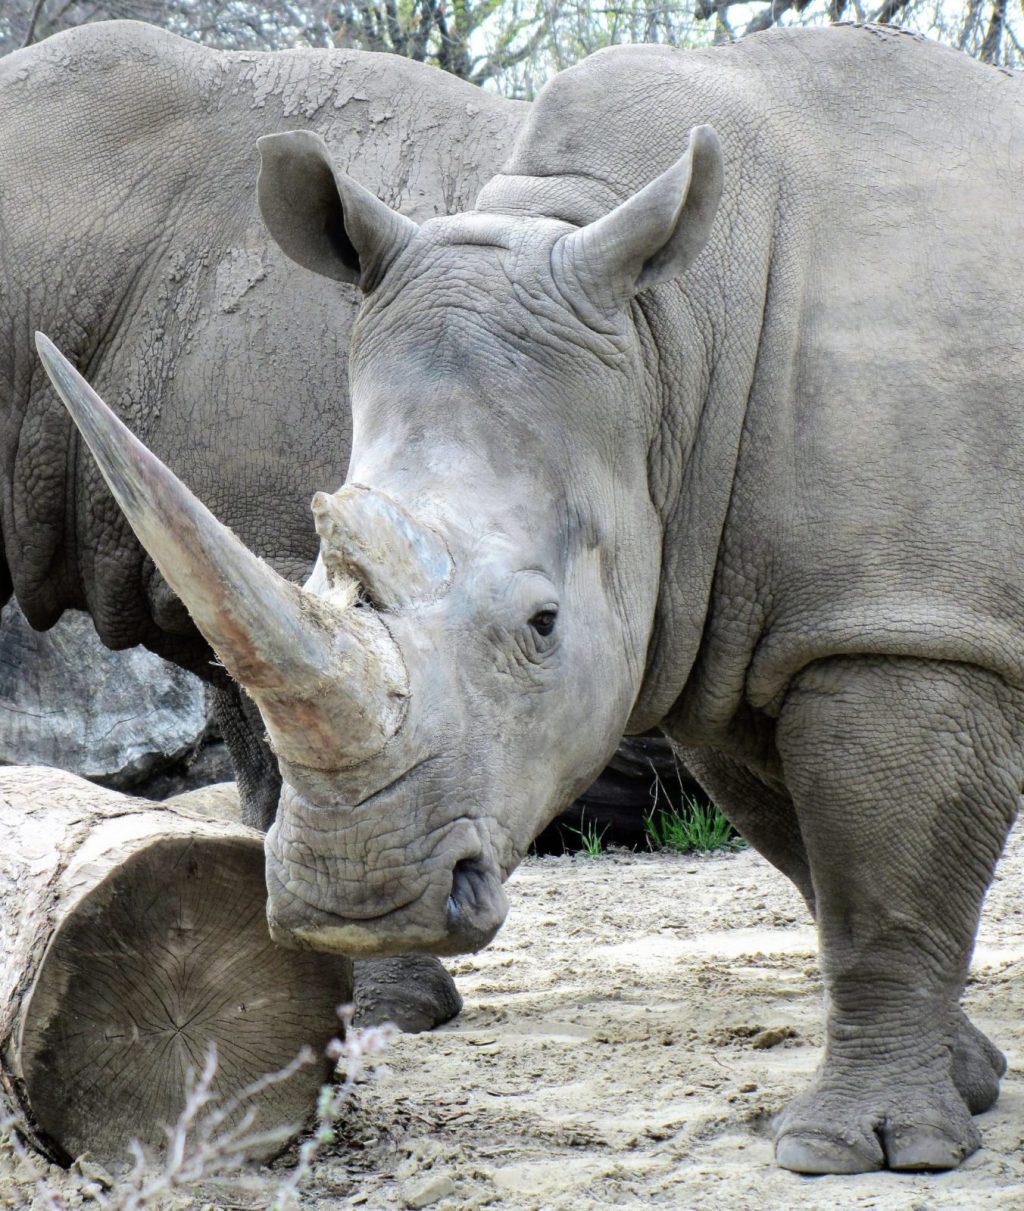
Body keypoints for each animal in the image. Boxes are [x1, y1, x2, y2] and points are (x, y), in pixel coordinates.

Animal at [36, 22, 1024, 1175]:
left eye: (542, 624)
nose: (355, 901)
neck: (669, 342)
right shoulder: (734, 628)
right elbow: (816, 863)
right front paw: (969, 1078)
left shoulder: (900, 622)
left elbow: (879, 885)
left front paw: (858, 1149)